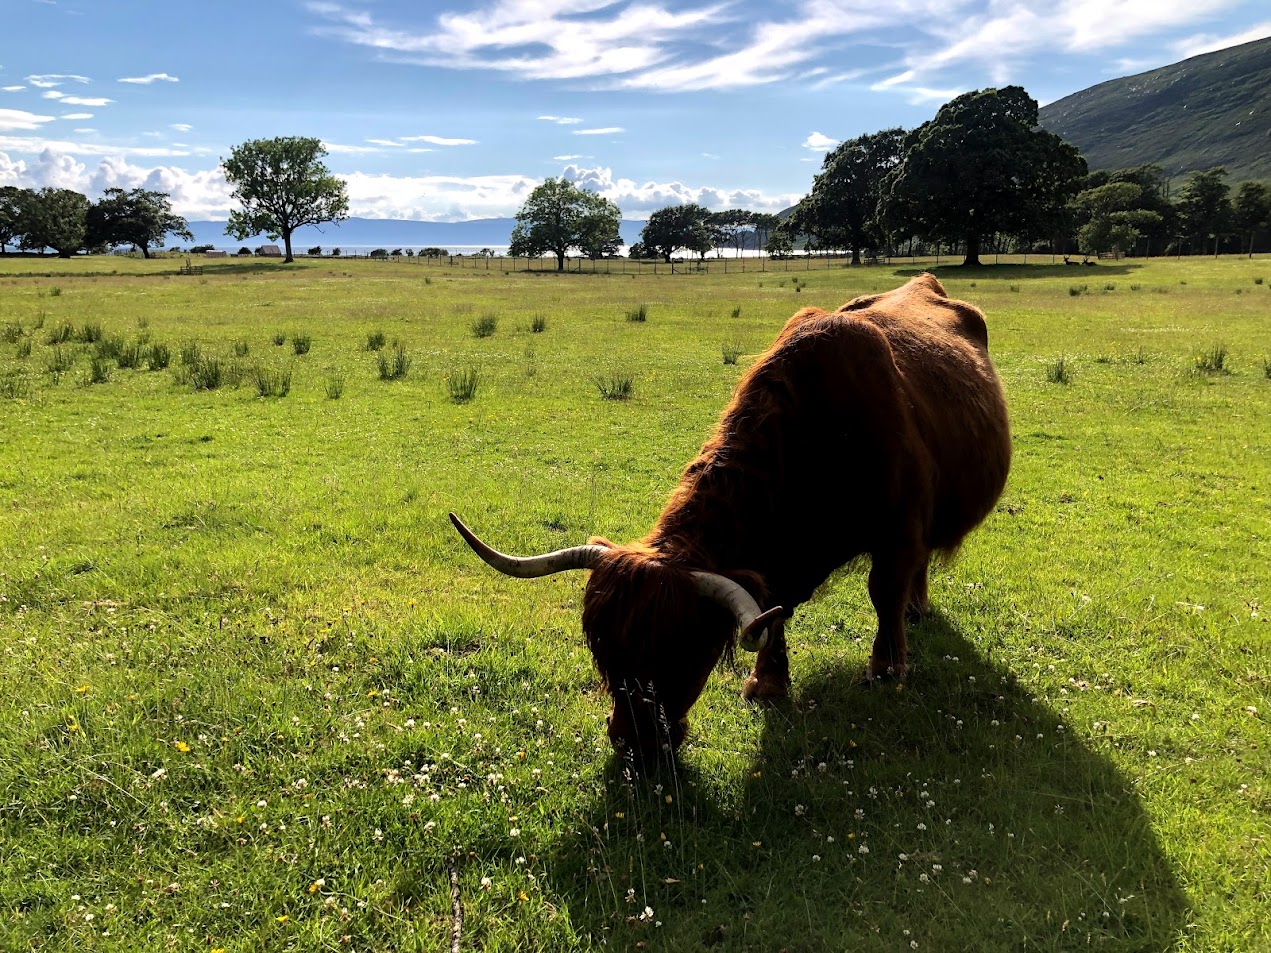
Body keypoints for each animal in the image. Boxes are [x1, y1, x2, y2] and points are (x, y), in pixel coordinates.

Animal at [452, 271, 1006, 757]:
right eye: (602, 649)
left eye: (681, 650)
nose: (634, 741)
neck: (819, 442)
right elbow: (774, 608)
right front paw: (768, 681)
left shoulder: (901, 528)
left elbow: (884, 591)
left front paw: (887, 668)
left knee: (917, 570)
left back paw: (916, 610)